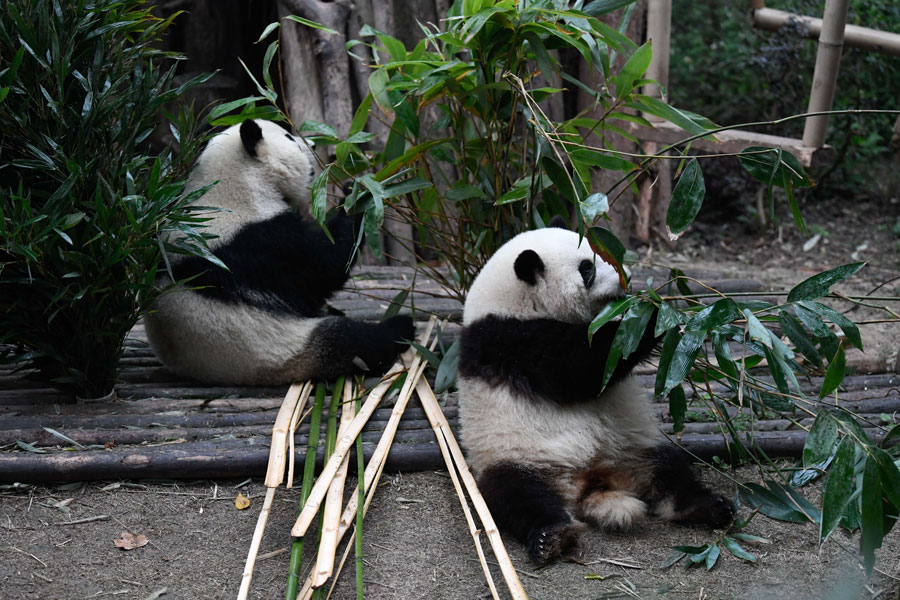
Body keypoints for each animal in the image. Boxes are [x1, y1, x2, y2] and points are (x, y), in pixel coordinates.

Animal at [144, 119, 414, 384]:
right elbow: (323, 270)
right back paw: (399, 327)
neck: (233, 185)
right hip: (282, 346)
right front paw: (356, 193)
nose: (313, 145)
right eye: (290, 138)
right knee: (354, 340)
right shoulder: (263, 242)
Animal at [458, 219, 732, 564]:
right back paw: (552, 535)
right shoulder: (507, 340)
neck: (511, 302)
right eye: (587, 267)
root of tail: (588, 481)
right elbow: (577, 370)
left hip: (635, 449)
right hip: (515, 456)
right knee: (515, 495)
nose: (626, 278)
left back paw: (707, 507)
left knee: (672, 470)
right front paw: (650, 314)